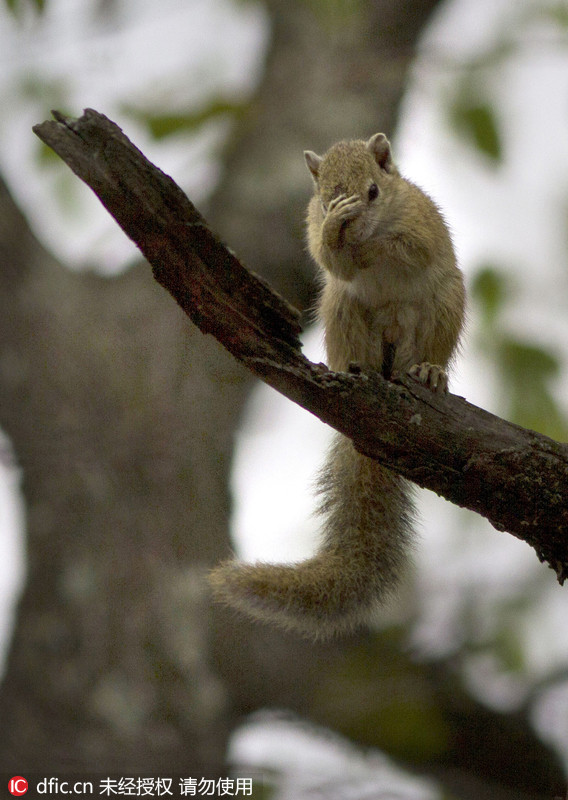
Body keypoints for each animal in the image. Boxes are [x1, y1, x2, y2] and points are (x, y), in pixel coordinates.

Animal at [209, 134, 466, 640]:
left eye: (374, 191)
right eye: (325, 197)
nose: (350, 221)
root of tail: (389, 357)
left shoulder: (420, 226)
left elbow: (407, 249)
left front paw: (366, 248)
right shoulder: (316, 236)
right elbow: (328, 257)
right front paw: (336, 236)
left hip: (445, 303)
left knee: (432, 344)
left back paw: (430, 371)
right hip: (339, 308)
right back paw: (350, 367)